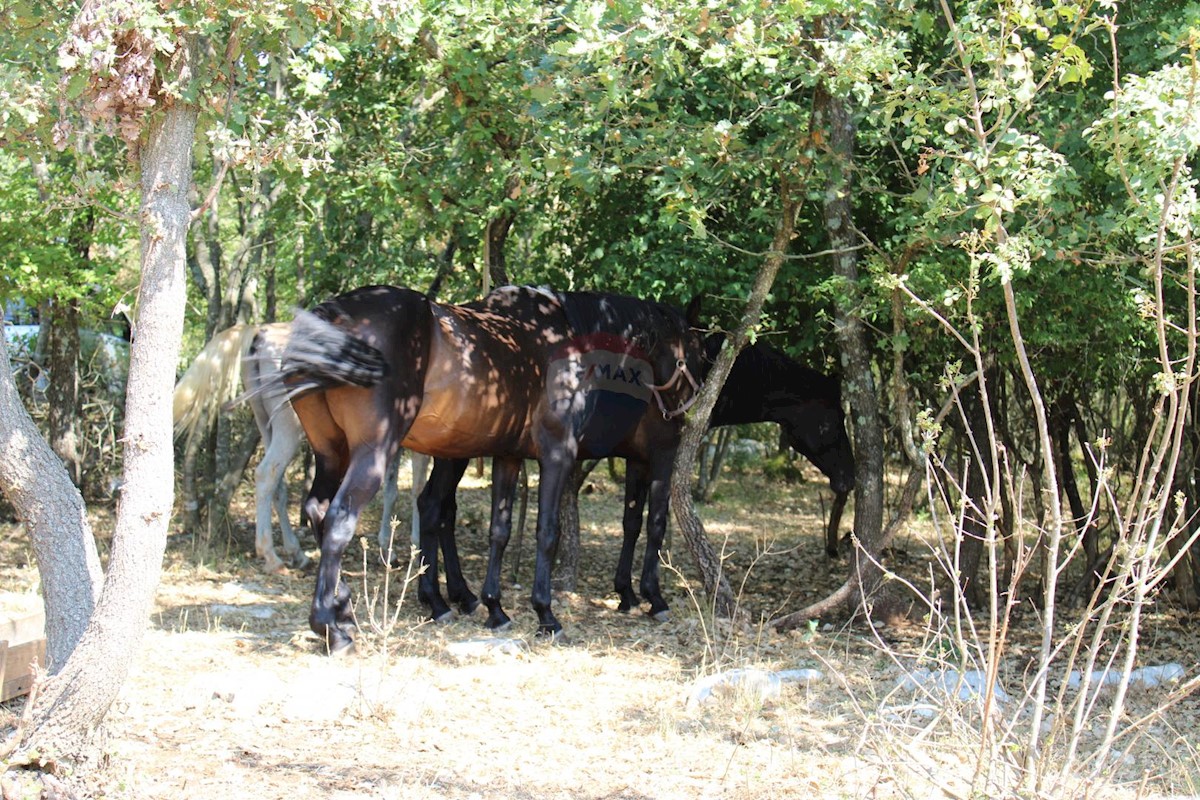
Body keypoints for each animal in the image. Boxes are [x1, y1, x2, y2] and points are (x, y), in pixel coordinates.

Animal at [171, 321, 427, 573]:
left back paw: (297, 553)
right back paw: (271, 556)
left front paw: (389, 550)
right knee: (266, 474)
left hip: (266, 426)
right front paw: (415, 547)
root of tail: (261, 333)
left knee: (277, 485)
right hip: (289, 429)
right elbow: (416, 490)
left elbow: (392, 491)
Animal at [272, 284, 700, 652]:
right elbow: (548, 532)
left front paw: (495, 608)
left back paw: (349, 606)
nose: (686, 411)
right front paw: (546, 615)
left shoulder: (507, 457)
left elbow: (500, 530)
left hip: (333, 453)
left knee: (320, 510)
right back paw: (334, 628)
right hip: (372, 453)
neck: (566, 343)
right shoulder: (558, 455)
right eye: (694, 348)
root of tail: (333, 315)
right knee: (341, 519)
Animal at [417, 331, 859, 623]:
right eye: (834, 419)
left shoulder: (637, 460)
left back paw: (456, 597)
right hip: (457, 455)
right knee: (436, 508)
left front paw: (626, 593)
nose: (849, 479)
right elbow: (657, 523)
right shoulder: (662, 458)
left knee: (438, 509)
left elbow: (632, 521)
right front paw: (653, 597)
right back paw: (442, 601)